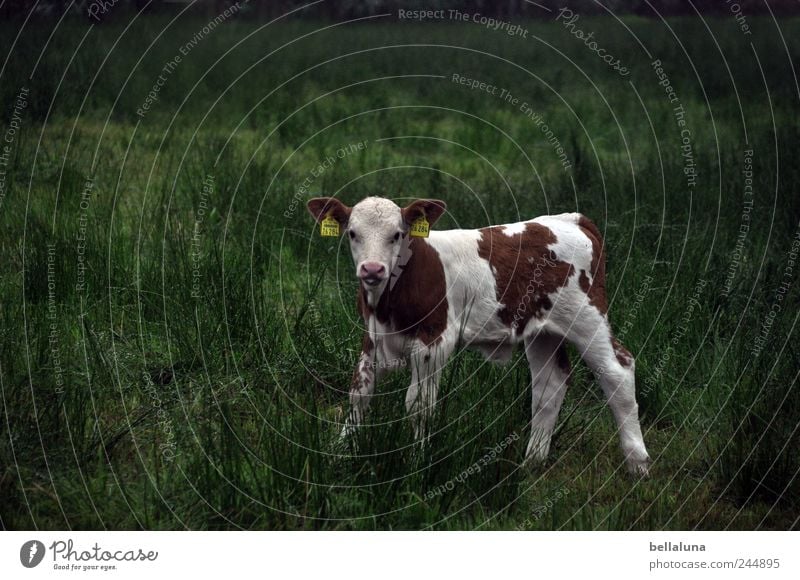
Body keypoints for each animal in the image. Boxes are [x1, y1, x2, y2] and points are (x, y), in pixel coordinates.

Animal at [306, 196, 648, 476]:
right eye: (352, 233)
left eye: (397, 234)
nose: (372, 269)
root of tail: (569, 220)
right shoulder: (373, 338)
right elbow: (358, 395)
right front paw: (338, 454)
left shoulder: (435, 340)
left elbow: (418, 405)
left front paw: (417, 462)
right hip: (542, 332)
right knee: (550, 384)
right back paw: (532, 461)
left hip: (587, 318)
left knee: (617, 372)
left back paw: (637, 464)